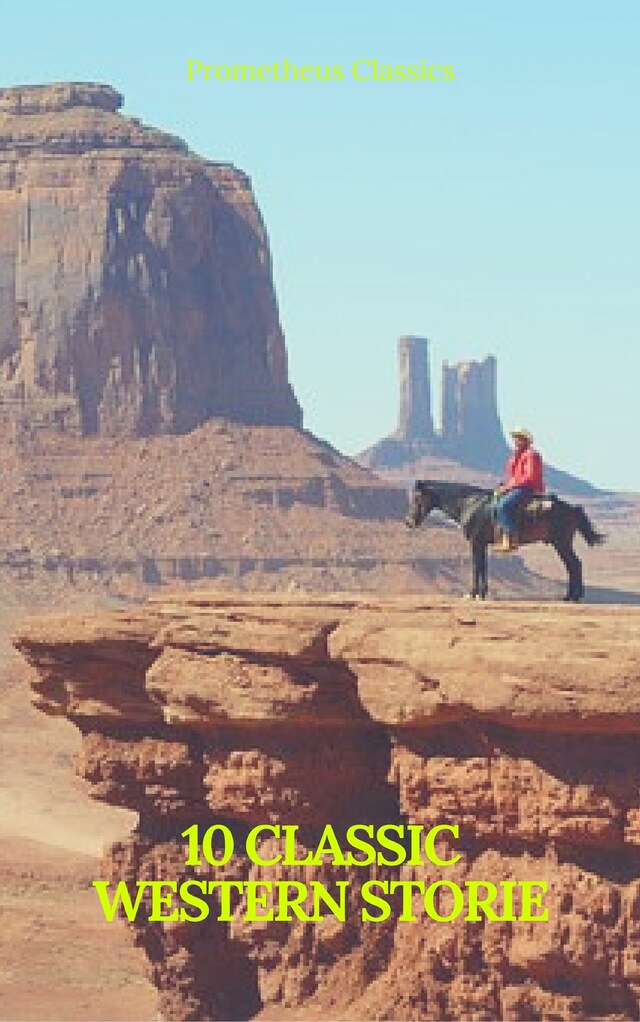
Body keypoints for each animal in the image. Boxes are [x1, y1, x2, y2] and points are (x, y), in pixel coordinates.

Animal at [402, 480, 601, 600]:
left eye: (417, 498)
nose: (408, 522)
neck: (470, 504)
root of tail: (572, 508)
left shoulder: (475, 542)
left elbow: (476, 567)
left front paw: (473, 593)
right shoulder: (481, 544)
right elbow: (483, 567)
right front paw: (482, 593)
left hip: (561, 542)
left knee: (574, 565)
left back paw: (573, 596)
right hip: (560, 543)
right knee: (573, 565)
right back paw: (571, 596)